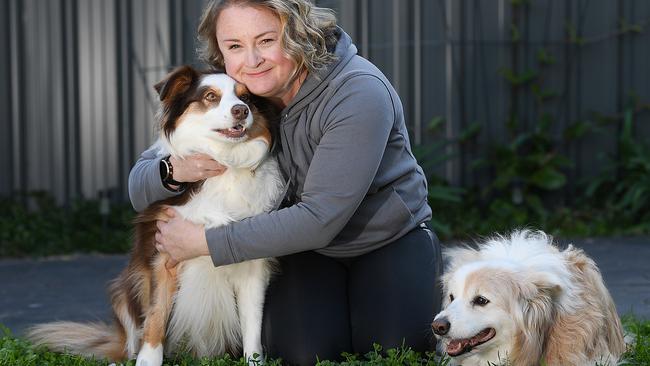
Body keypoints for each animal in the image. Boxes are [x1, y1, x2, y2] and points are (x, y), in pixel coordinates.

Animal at [27, 66, 284, 366]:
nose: (241, 110)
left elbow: (252, 325)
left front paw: (254, 361)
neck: (225, 163)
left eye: (247, 98)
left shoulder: (252, 268)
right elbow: (157, 315)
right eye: (210, 96)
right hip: (124, 289)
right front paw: (148, 360)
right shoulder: (162, 256)